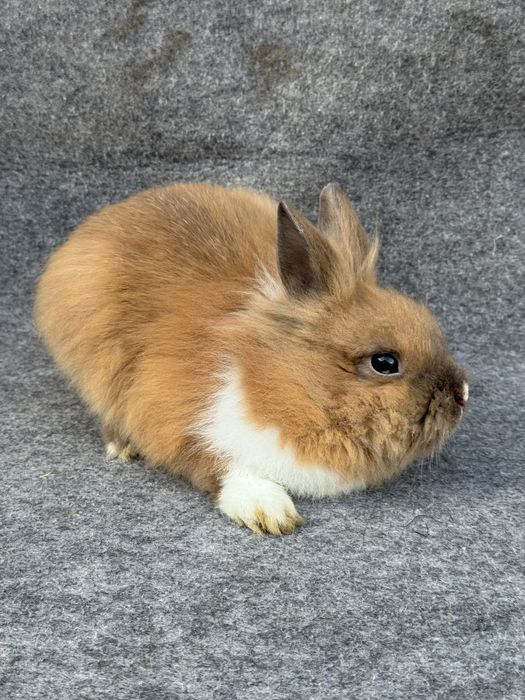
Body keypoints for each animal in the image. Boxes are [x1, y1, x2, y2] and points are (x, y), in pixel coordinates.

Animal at [34, 182, 468, 535]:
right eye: (385, 363)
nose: (462, 393)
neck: (285, 381)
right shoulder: (176, 417)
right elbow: (221, 465)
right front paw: (269, 511)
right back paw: (121, 448)